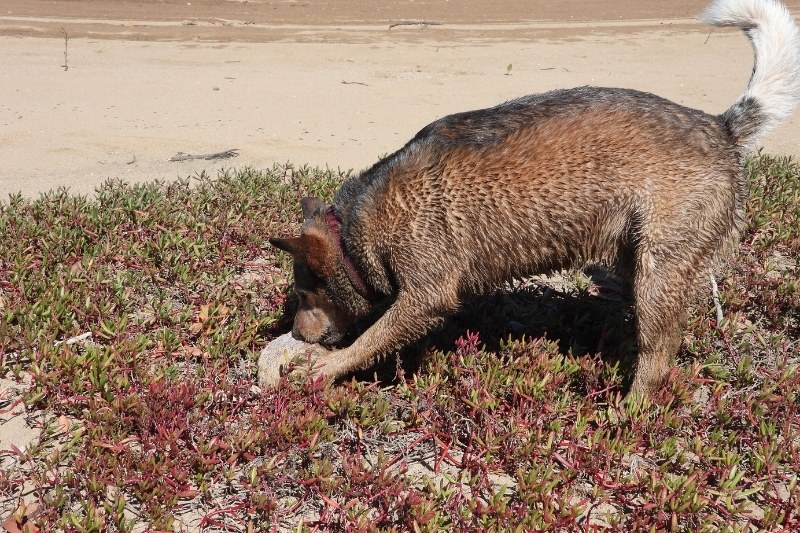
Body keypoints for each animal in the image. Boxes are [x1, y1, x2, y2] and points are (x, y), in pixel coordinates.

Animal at [264, 0, 800, 394]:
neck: (354, 231)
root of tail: (722, 128)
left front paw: (325, 368)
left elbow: (367, 341)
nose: (297, 335)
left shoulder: (425, 296)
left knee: (658, 354)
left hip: (660, 271)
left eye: (304, 294)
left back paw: (629, 411)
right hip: (637, 259)